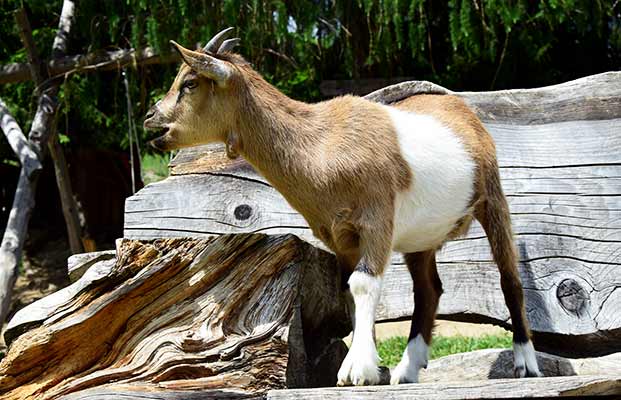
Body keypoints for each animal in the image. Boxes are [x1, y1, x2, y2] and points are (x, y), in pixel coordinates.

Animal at [143, 27, 540, 384]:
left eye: (190, 83)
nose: (150, 119)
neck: (321, 146)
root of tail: (460, 108)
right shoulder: (340, 236)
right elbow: (348, 290)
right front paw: (375, 368)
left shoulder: (377, 220)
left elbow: (363, 285)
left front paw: (356, 371)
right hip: (421, 235)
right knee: (429, 290)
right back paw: (407, 370)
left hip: (492, 198)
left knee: (509, 276)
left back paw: (525, 363)